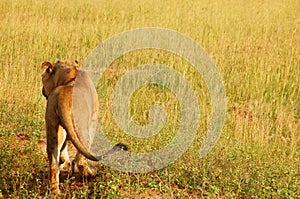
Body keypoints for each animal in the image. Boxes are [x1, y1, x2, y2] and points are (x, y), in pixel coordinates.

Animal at [41, 59, 127, 195]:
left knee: (53, 162)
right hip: (83, 128)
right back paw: (90, 174)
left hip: (53, 128)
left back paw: (56, 192)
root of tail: (62, 98)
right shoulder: (93, 120)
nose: (43, 91)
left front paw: (65, 163)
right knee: (81, 159)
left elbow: (64, 149)